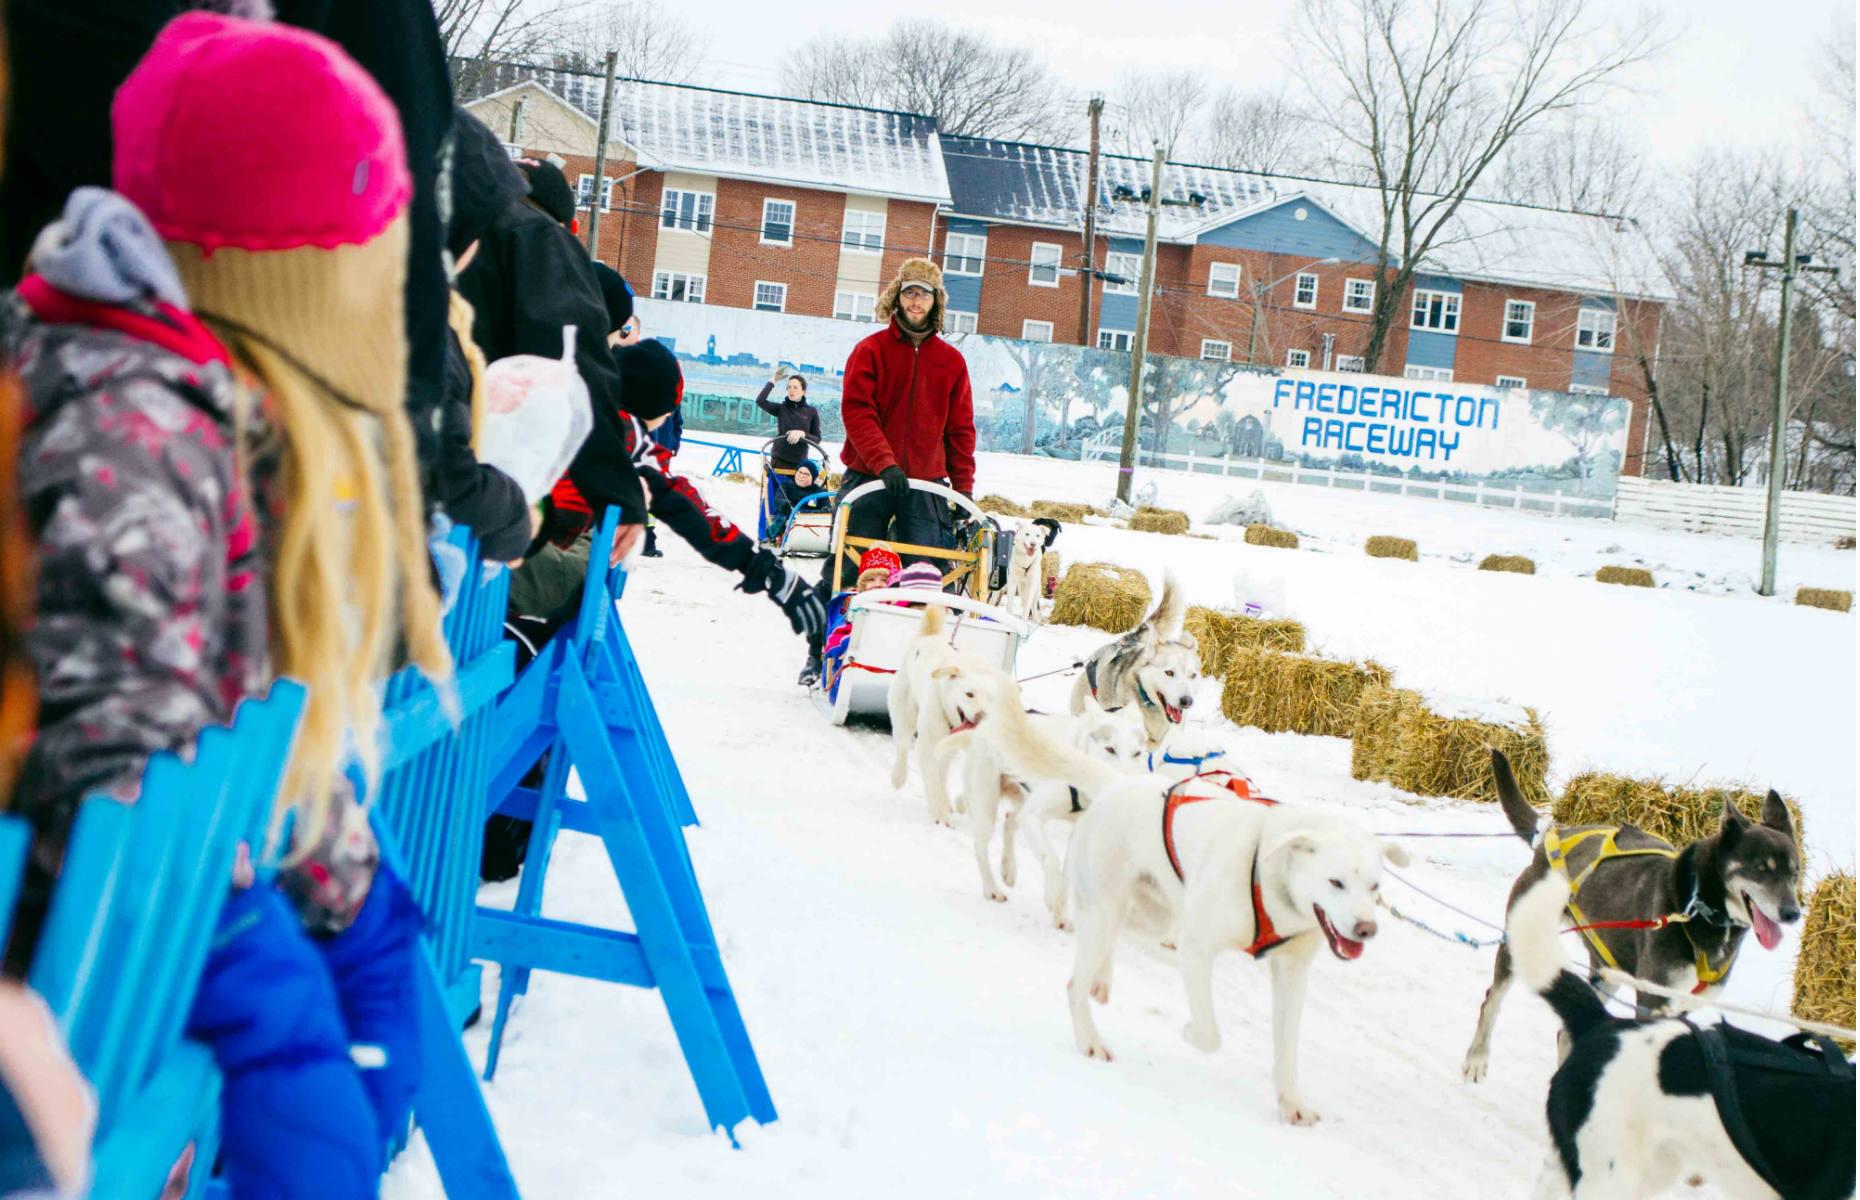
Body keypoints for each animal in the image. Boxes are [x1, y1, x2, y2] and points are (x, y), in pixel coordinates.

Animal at [889, 610, 996, 822]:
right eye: (969, 694)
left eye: (992, 699)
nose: (981, 716)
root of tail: (928, 636)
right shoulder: (928, 744)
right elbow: (932, 781)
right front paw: (940, 815)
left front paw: (946, 805)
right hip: (905, 716)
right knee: (903, 745)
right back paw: (899, 776)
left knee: (943, 769)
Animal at [1056, 744, 1398, 1131]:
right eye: (1335, 882)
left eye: (1374, 887)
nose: (1367, 929)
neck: (1267, 873)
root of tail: (1117, 783)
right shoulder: (1196, 948)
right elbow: (1209, 1035)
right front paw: (1189, 1031)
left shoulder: (1291, 974)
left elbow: (1287, 1051)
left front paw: (1291, 1102)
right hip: (1108, 909)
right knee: (1074, 983)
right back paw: (1090, 1039)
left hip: (1143, 913)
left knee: (1111, 940)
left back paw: (1101, 980)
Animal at [1465, 755, 1800, 1079]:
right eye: (1762, 868)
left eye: (1795, 872)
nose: (1793, 913)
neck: (1696, 907)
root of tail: (1554, 835)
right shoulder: (1653, 1003)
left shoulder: (1680, 1007)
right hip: (1520, 939)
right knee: (1491, 1001)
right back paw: (1477, 1058)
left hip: (1606, 971)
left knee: (1567, 1032)